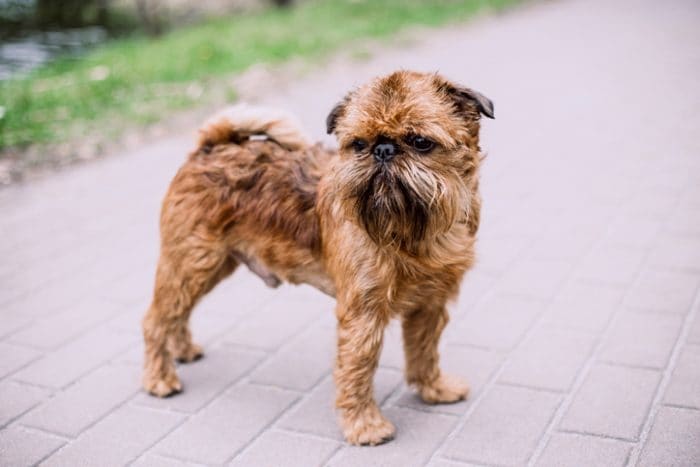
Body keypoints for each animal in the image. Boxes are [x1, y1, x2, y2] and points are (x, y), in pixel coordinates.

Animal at [141, 69, 492, 446]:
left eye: (421, 141)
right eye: (358, 145)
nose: (383, 149)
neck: (414, 233)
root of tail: (210, 148)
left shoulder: (430, 305)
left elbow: (424, 350)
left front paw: (433, 389)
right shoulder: (363, 314)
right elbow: (358, 367)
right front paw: (365, 426)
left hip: (209, 266)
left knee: (178, 311)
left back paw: (182, 351)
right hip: (192, 262)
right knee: (156, 319)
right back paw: (159, 378)